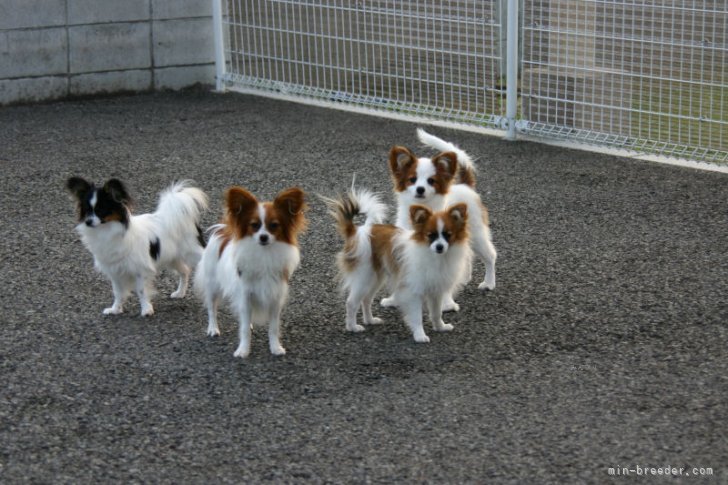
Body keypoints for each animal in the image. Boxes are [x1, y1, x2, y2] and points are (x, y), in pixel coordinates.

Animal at [66, 176, 208, 316]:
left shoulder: (141, 269)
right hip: (172, 258)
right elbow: (117, 293)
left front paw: (146, 309)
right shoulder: (115, 272)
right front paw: (115, 309)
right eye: (87, 210)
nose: (88, 221)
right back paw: (180, 293)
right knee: (185, 271)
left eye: (101, 210)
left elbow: (141, 290)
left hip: (193, 252)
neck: (105, 230)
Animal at [195, 187, 306, 358]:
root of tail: (223, 229)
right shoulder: (245, 296)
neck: (264, 253)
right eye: (254, 225)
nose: (263, 237)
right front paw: (243, 350)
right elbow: (244, 329)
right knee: (211, 308)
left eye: (274, 225)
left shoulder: (275, 298)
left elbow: (273, 328)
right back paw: (213, 329)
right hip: (212, 285)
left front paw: (275, 348)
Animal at [326, 187, 472, 342]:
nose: (439, 247)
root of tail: (356, 231)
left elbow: (436, 313)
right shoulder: (413, 291)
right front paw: (420, 335)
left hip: (376, 279)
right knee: (351, 302)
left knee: (366, 299)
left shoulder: (436, 290)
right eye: (430, 235)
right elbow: (417, 317)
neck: (436, 257)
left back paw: (370, 320)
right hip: (363, 277)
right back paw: (352, 327)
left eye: (448, 235)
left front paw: (440, 327)